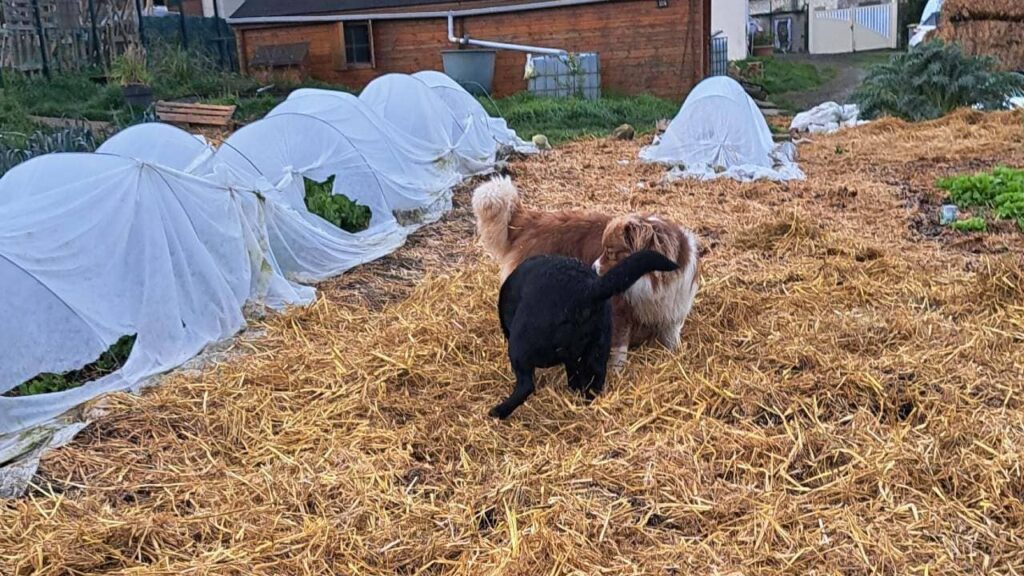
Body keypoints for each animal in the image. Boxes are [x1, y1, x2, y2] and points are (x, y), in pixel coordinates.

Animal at [473, 174, 700, 366]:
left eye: (611, 251)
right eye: (604, 249)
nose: (593, 267)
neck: (651, 281)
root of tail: (531, 220)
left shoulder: (672, 309)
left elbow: (671, 338)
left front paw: (675, 357)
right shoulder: (619, 309)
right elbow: (620, 347)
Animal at [489, 250, 679, 416]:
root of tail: (587, 289)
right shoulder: (573, 357)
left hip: (519, 346)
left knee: (526, 385)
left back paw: (498, 411)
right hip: (598, 348)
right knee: (595, 381)